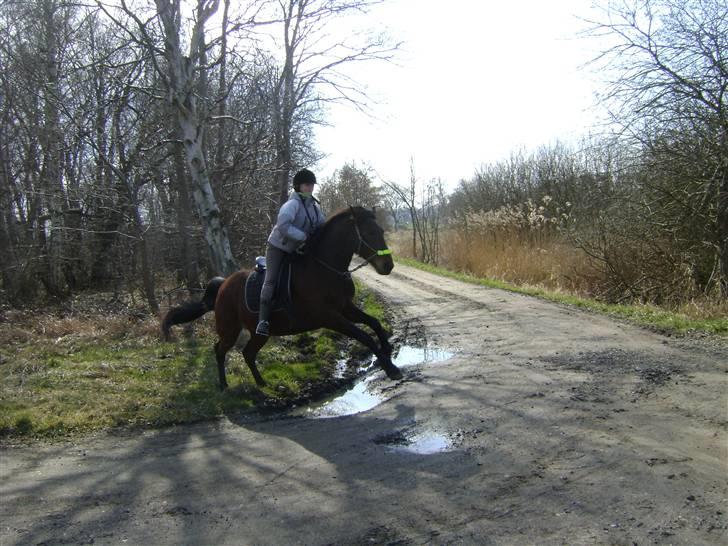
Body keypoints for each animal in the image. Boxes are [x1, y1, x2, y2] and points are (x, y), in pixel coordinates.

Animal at [160, 204, 406, 386]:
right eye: (370, 233)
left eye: (382, 232)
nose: (388, 266)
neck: (324, 268)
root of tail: (222, 285)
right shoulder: (330, 317)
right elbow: (364, 336)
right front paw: (390, 368)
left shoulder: (346, 308)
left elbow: (374, 323)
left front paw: (387, 349)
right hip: (230, 329)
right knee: (220, 350)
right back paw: (223, 385)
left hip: (259, 333)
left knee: (248, 353)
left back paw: (261, 383)